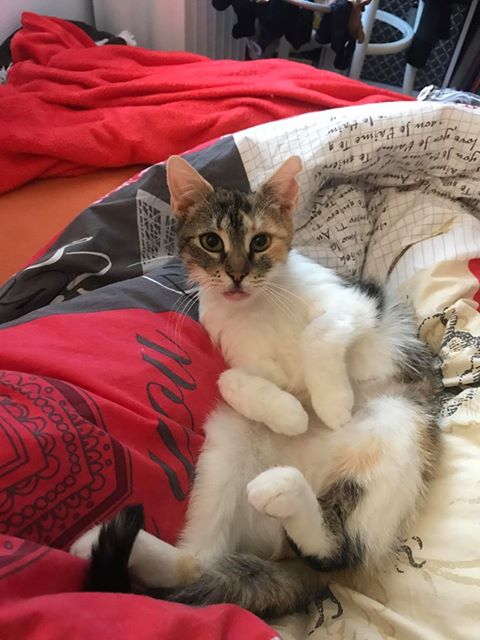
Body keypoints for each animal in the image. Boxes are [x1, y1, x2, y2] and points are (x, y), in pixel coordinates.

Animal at [71, 155, 442, 625]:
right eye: (211, 241)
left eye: (260, 241)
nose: (236, 275)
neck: (262, 305)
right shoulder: (240, 353)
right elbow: (229, 379)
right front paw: (293, 415)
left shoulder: (358, 302)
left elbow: (319, 331)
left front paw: (331, 404)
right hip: (228, 442)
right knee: (200, 561)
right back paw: (96, 541)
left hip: (397, 429)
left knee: (336, 551)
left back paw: (284, 489)